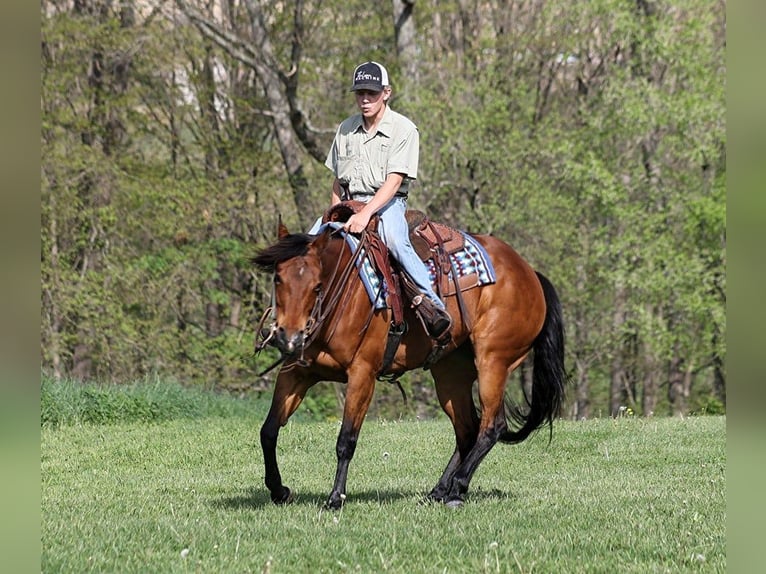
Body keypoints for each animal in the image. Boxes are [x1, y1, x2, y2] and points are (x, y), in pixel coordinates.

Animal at [254, 214, 568, 510]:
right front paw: (279, 490)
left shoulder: (362, 375)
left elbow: (346, 440)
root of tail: (529, 273)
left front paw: (336, 498)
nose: (288, 337)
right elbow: (268, 431)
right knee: (467, 430)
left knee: (492, 426)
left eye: (317, 286)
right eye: (278, 279)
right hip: (450, 375)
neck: (344, 295)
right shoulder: (296, 372)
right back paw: (439, 491)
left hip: (493, 363)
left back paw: (457, 489)